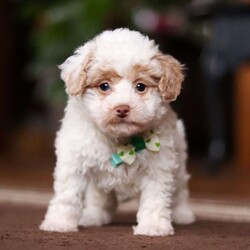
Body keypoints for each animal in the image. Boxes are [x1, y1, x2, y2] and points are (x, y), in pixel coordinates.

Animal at [39, 28, 195, 235]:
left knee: (181, 191)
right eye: (104, 86)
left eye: (140, 86)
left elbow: (155, 199)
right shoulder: (74, 160)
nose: (122, 109)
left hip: (179, 160)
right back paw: (94, 216)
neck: (123, 141)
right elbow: (67, 195)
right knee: (99, 197)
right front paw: (59, 223)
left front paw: (153, 226)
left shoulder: (158, 167)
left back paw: (183, 214)